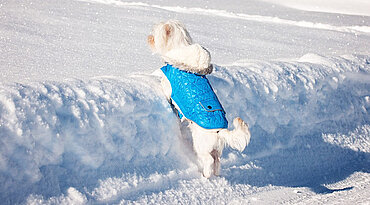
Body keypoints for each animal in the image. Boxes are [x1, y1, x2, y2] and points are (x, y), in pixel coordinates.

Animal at [147, 20, 251, 179]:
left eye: (155, 32)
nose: (149, 38)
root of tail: (220, 131)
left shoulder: (168, 86)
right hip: (215, 149)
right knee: (217, 160)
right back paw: (215, 174)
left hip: (201, 145)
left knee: (208, 160)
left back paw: (205, 175)